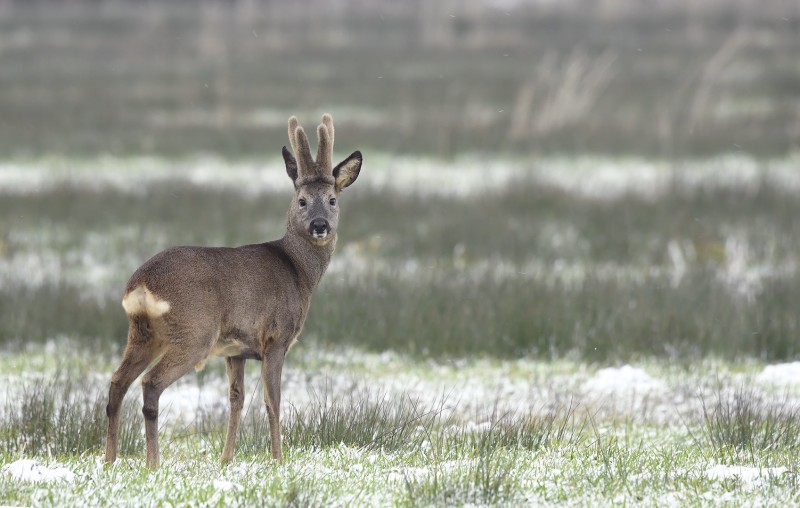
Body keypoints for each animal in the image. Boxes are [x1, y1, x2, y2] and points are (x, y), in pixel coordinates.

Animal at [104, 114, 360, 468]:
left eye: (333, 200)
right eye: (302, 201)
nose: (320, 225)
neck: (299, 271)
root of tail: (141, 284)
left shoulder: (235, 350)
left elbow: (236, 399)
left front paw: (226, 458)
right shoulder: (277, 337)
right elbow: (272, 400)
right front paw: (278, 459)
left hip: (142, 333)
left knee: (117, 383)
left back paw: (109, 460)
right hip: (193, 332)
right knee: (150, 384)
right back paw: (153, 462)